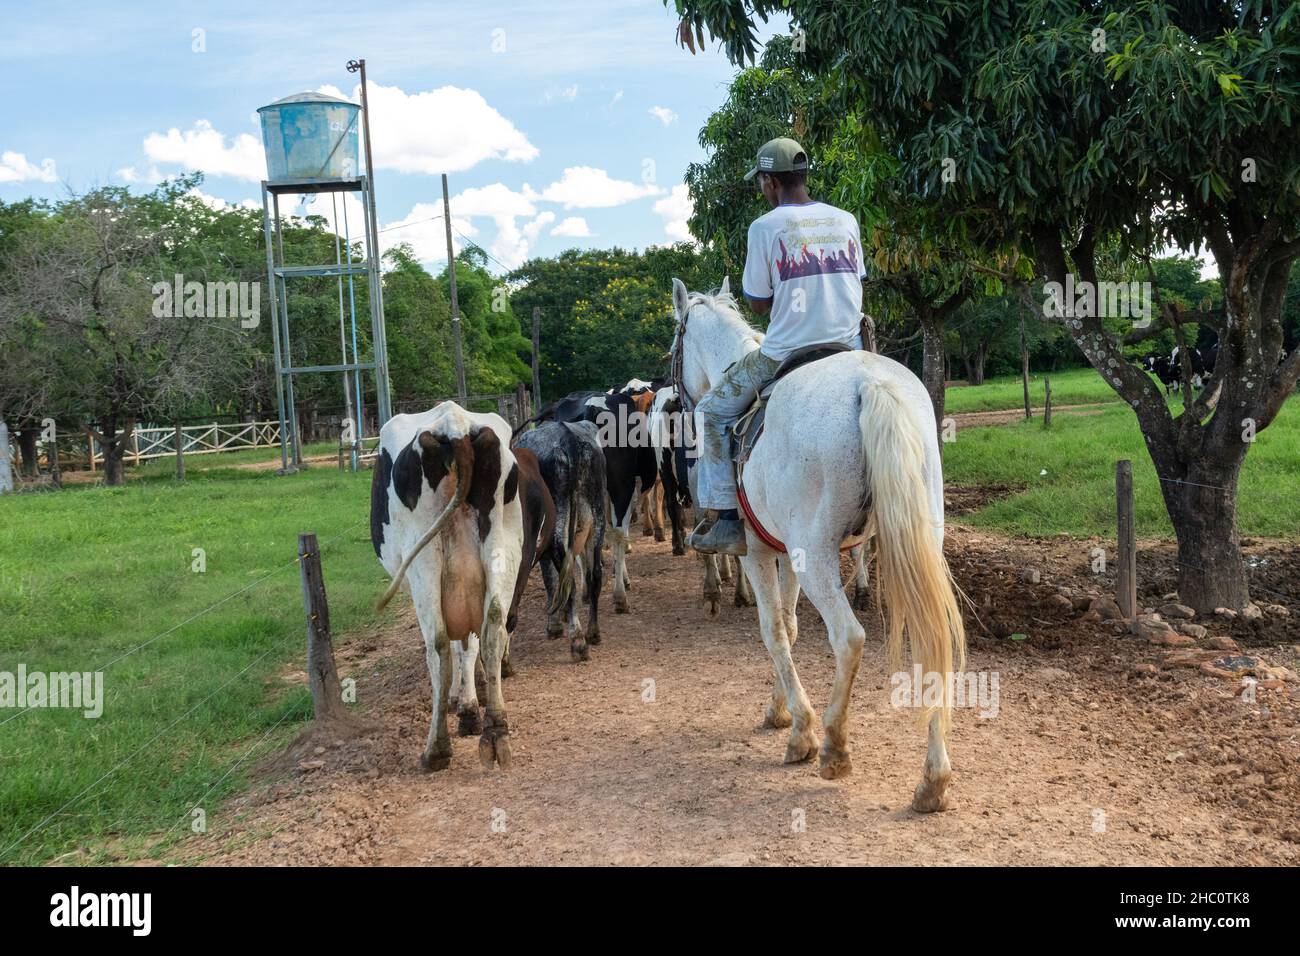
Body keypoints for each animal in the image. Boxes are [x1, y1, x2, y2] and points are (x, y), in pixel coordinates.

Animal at [369, 403, 551, 770]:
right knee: (494, 628)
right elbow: (471, 643)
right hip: (501, 550)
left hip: (424, 561)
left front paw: (463, 704)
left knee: (438, 645)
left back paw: (436, 748)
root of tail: (455, 426)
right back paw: (496, 730)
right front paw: (472, 701)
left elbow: (456, 646)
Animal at [509, 421, 605, 660]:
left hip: (556, 532)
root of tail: (567, 436)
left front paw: (554, 624)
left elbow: (550, 580)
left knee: (568, 580)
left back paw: (578, 641)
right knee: (594, 575)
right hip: (598, 519)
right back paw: (593, 632)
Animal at [670, 278, 967, 816]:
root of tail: (869, 384)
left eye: (674, 347)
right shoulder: (785, 553)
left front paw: (800, 732)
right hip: (913, 543)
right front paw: (780, 711)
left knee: (849, 638)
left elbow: (773, 631)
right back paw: (933, 781)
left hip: (818, 557)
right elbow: (789, 626)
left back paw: (833, 748)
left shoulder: (760, 554)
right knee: (932, 639)